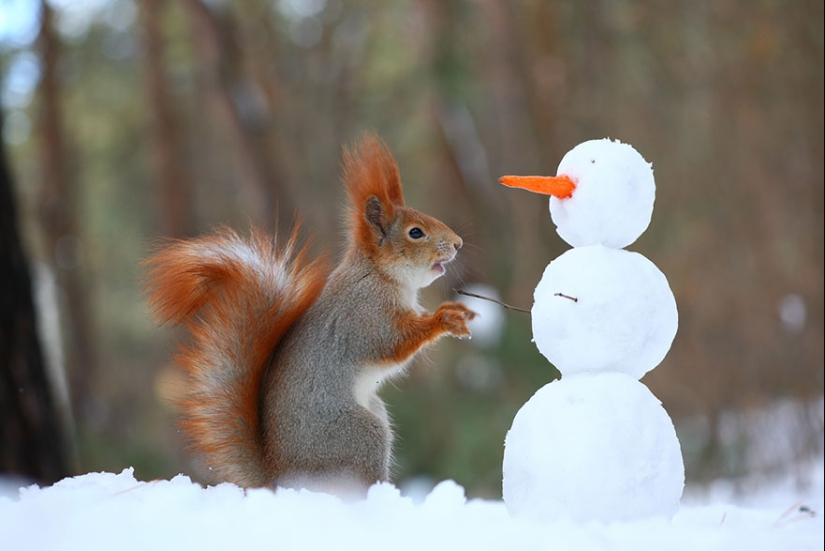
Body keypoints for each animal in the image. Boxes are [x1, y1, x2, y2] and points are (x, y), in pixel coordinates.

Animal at [145, 135, 474, 496]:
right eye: (416, 233)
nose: (458, 243)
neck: (380, 276)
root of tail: (282, 479)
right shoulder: (365, 315)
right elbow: (392, 344)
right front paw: (444, 320)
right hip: (360, 436)